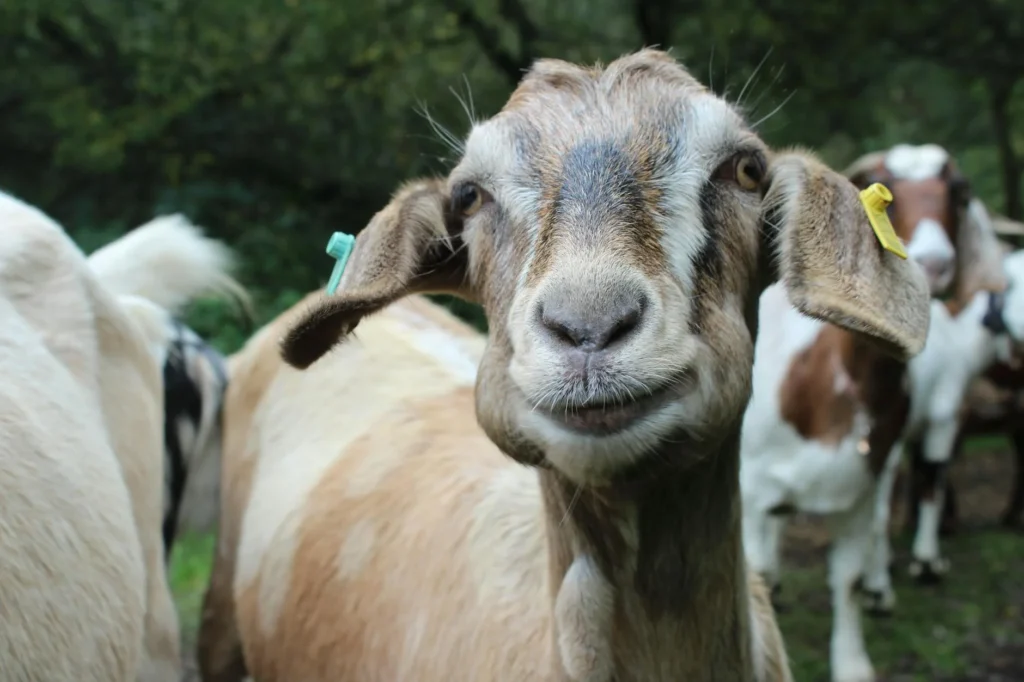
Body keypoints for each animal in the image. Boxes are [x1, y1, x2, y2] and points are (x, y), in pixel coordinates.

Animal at [740, 143, 1004, 682]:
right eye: (885, 191)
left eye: (959, 192)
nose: (934, 264)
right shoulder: (752, 490)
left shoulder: (859, 489)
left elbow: (849, 579)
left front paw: (852, 661)